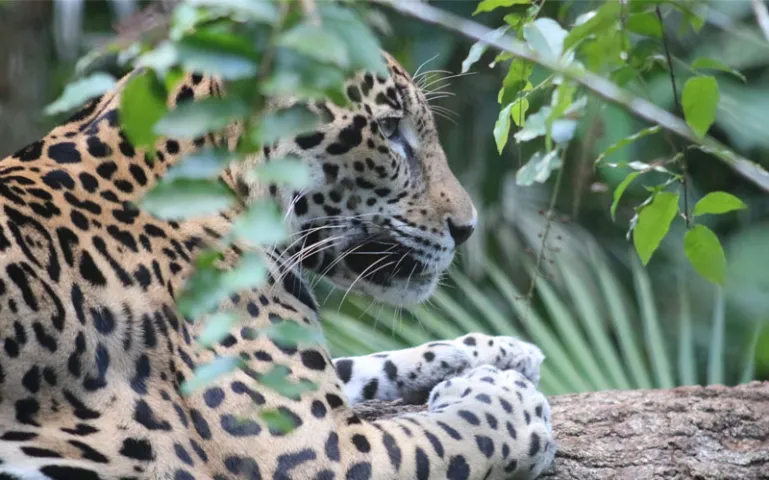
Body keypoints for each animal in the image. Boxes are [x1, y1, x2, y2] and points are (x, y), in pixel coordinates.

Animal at [0, 49, 556, 479]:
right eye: (388, 129)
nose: (468, 228)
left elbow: (367, 363)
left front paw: (501, 351)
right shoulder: (317, 453)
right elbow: (464, 431)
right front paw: (510, 398)